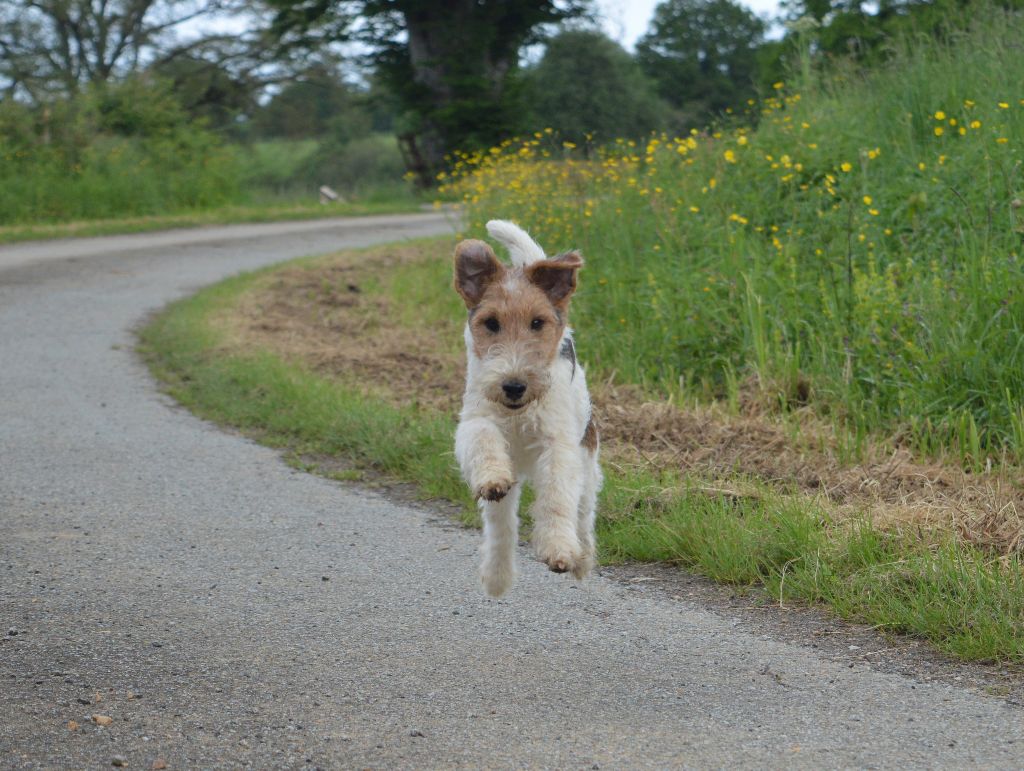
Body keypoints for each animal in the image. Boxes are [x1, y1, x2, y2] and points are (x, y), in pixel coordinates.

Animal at [454, 218, 598, 593]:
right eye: (491, 323)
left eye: (537, 322)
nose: (514, 386)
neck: (519, 415)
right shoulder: (475, 419)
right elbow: (483, 441)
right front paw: (492, 477)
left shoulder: (559, 444)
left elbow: (557, 499)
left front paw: (559, 551)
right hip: (511, 480)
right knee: (501, 525)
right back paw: (497, 576)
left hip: (588, 462)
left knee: (583, 514)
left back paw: (582, 560)